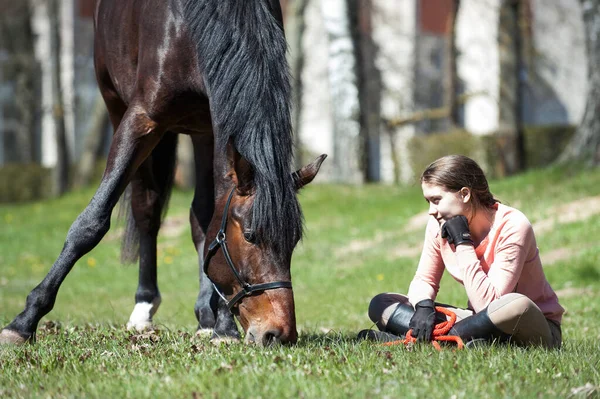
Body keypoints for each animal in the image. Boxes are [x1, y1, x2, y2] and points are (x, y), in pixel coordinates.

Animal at [0, 0, 326, 346]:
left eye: (293, 241)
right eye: (250, 235)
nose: (280, 333)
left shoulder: (216, 121)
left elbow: (210, 219)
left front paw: (223, 327)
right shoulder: (142, 118)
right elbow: (91, 223)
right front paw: (23, 321)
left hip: (201, 130)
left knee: (200, 216)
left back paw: (206, 315)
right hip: (116, 104)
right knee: (146, 210)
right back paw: (143, 308)